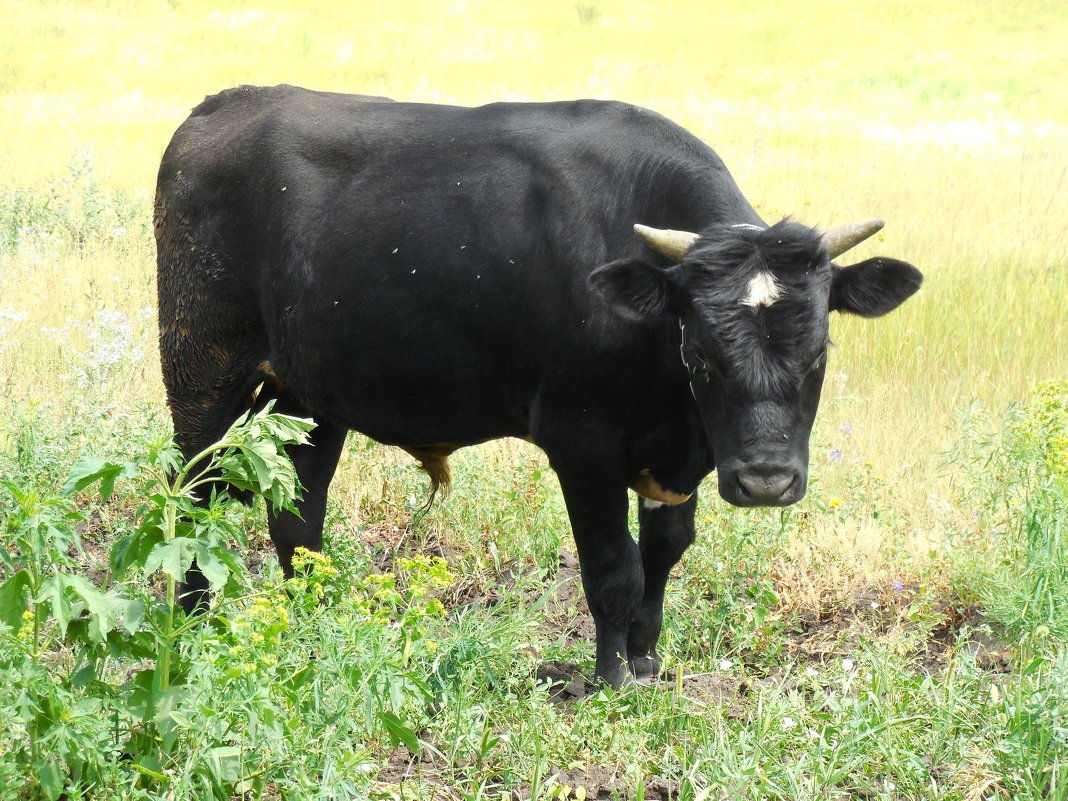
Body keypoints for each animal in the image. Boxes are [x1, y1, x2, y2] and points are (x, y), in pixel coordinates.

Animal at [154, 86, 922, 692]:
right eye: (702, 354)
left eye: (819, 351)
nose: (766, 480)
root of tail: (226, 103)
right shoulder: (582, 442)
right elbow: (614, 568)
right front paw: (610, 680)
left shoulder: (675, 455)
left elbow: (665, 548)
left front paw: (646, 659)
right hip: (201, 373)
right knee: (192, 501)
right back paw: (188, 624)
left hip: (310, 396)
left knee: (299, 512)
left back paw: (315, 620)